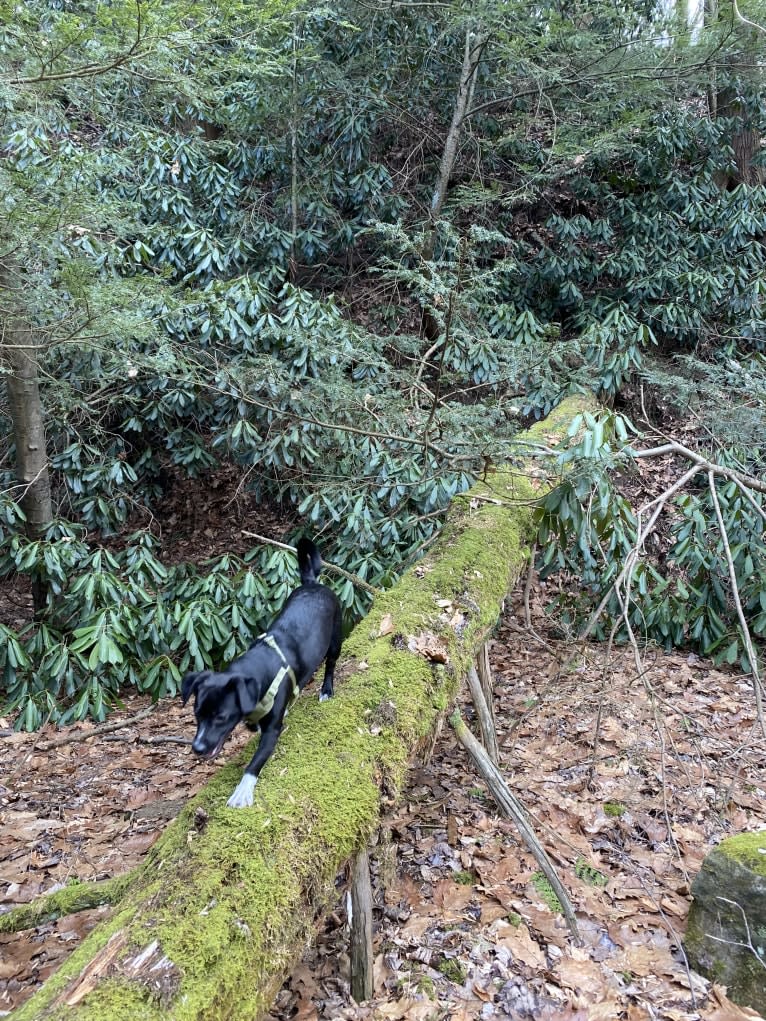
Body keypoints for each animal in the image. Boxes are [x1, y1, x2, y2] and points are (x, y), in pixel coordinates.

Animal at [180, 539, 341, 808]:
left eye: (221, 717)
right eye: (197, 714)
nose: (198, 748)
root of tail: (312, 583)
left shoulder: (272, 732)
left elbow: (255, 761)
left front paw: (242, 791)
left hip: (335, 639)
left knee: (330, 664)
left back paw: (326, 690)